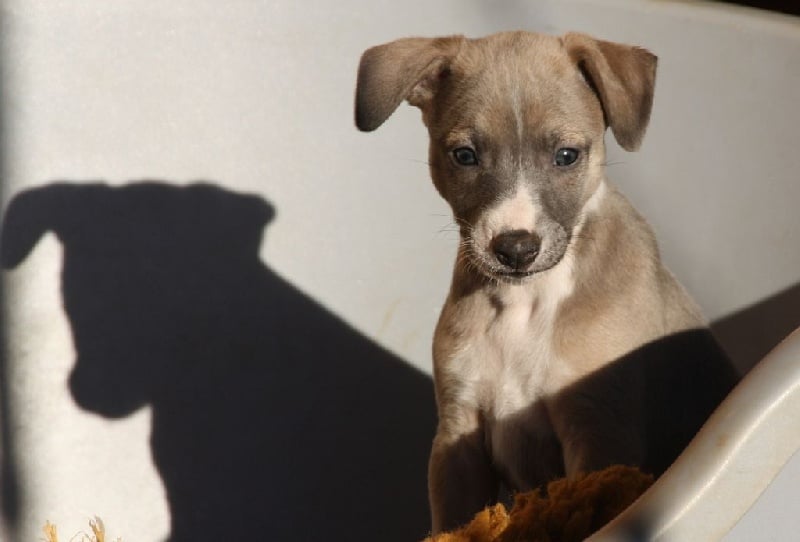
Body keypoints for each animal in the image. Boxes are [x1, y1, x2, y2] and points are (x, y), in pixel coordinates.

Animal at [354, 31, 739, 534]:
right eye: (464, 156)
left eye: (566, 156)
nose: (516, 248)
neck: (526, 301)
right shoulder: (459, 434)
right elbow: (454, 526)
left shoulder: (599, 435)